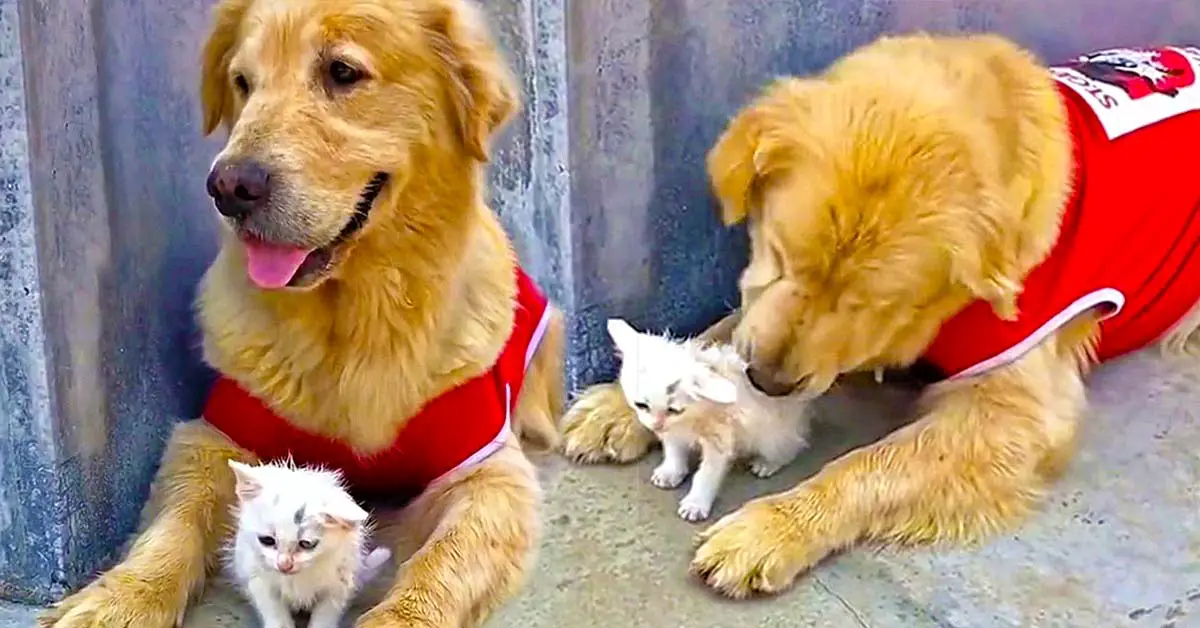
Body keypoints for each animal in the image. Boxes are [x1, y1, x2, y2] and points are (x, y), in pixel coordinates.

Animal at [226, 461, 391, 628]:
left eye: (306, 544)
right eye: (267, 540)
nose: (284, 565)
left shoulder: (340, 581)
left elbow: (326, 615)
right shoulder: (256, 576)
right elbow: (273, 610)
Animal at [609, 319, 816, 521]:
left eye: (673, 410)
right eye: (641, 405)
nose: (656, 426)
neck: (694, 416)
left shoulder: (720, 437)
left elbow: (707, 473)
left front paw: (696, 503)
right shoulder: (673, 430)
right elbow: (674, 448)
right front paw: (671, 471)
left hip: (773, 434)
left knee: (792, 444)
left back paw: (769, 462)